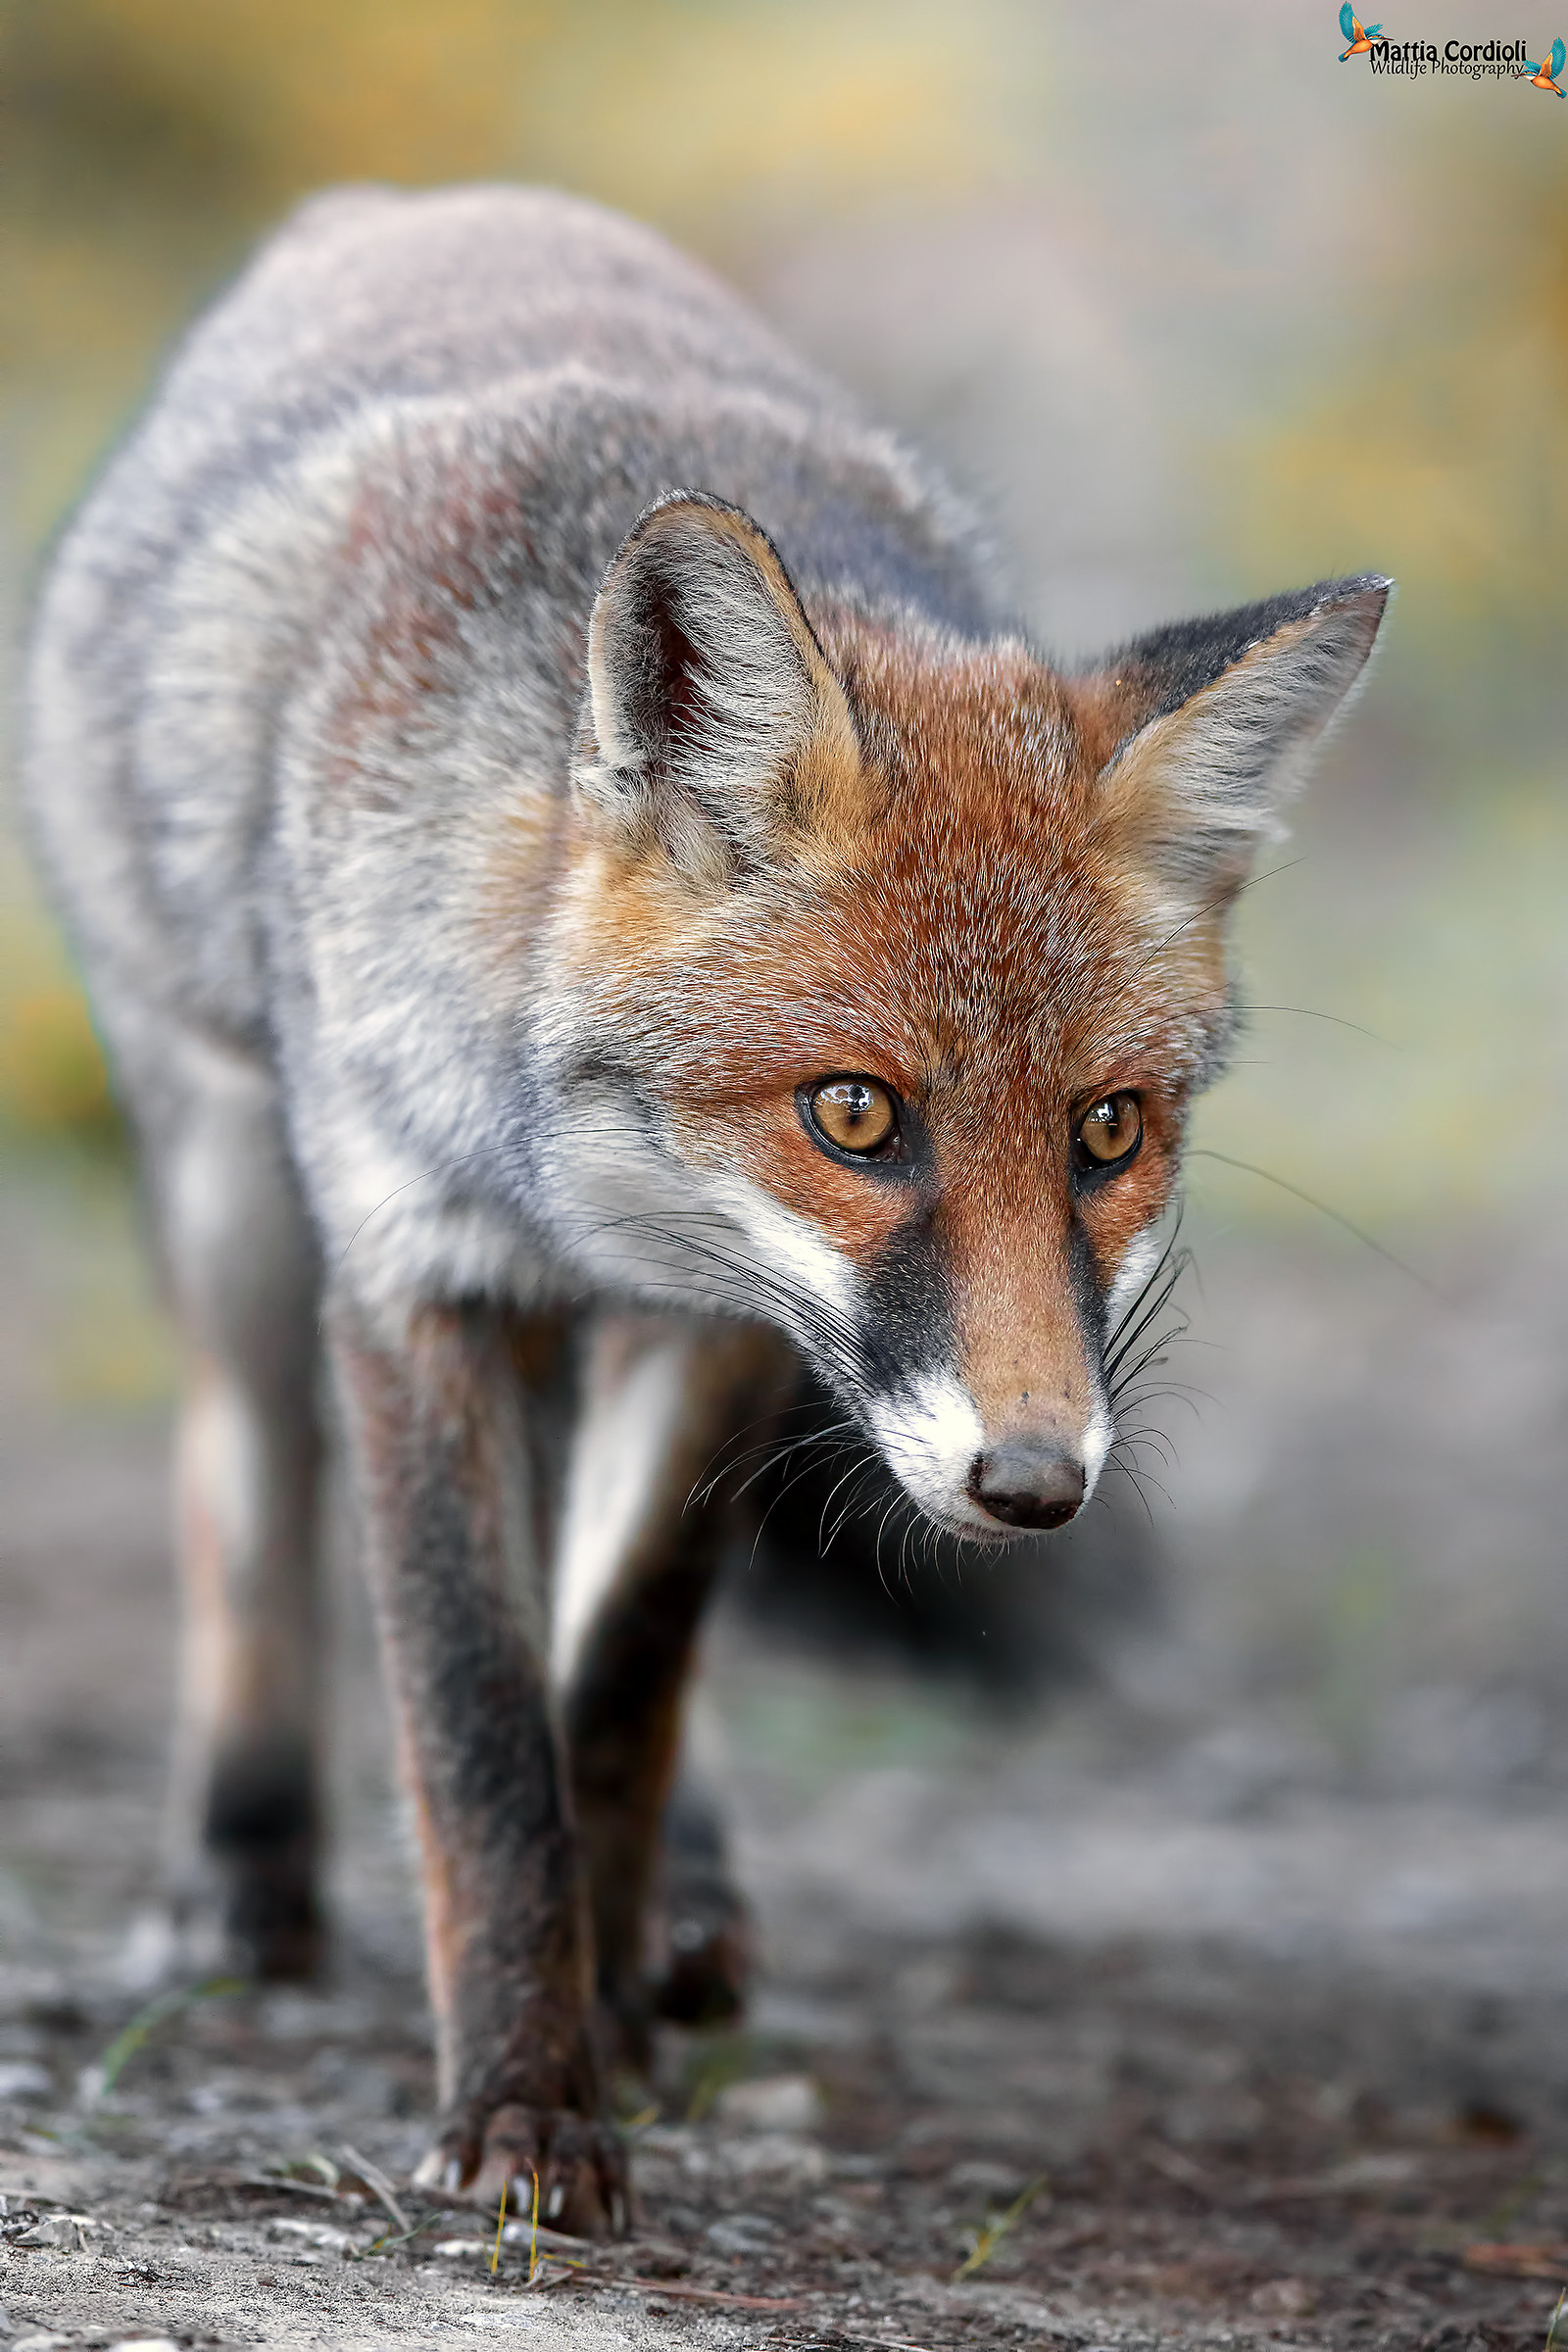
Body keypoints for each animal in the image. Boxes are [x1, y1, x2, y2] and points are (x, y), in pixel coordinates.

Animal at [24, 184, 1388, 2235]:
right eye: (857, 1114)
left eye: (1107, 1130)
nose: (1034, 1484)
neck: (587, 1198)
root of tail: (421, 207)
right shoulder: (415, 1281)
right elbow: (480, 1730)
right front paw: (521, 2106)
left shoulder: (735, 1332)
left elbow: (619, 1679)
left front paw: (598, 1999)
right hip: (226, 1173)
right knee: (242, 1491)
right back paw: (240, 1873)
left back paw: (686, 1908)